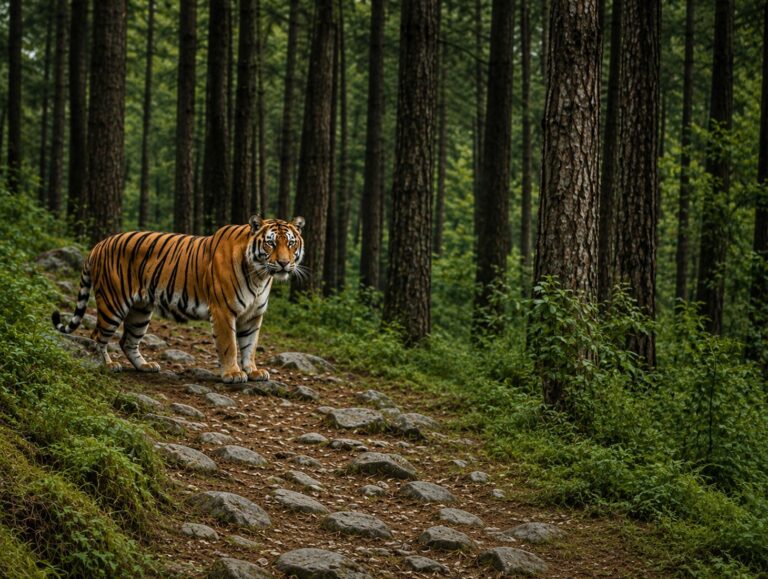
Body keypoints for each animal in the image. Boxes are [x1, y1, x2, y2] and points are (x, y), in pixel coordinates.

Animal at [52, 216, 305, 384]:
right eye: (271, 243)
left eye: (291, 243)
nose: (284, 263)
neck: (260, 275)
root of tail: (98, 245)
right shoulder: (223, 311)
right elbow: (230, 345)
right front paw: (233, 373)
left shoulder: (253, 315)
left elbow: (249, 345)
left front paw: (253, 371)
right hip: (112, 302)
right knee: (97, 335)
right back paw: (108, 365)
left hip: (140, 310)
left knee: (127, 340)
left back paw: (145, 366)